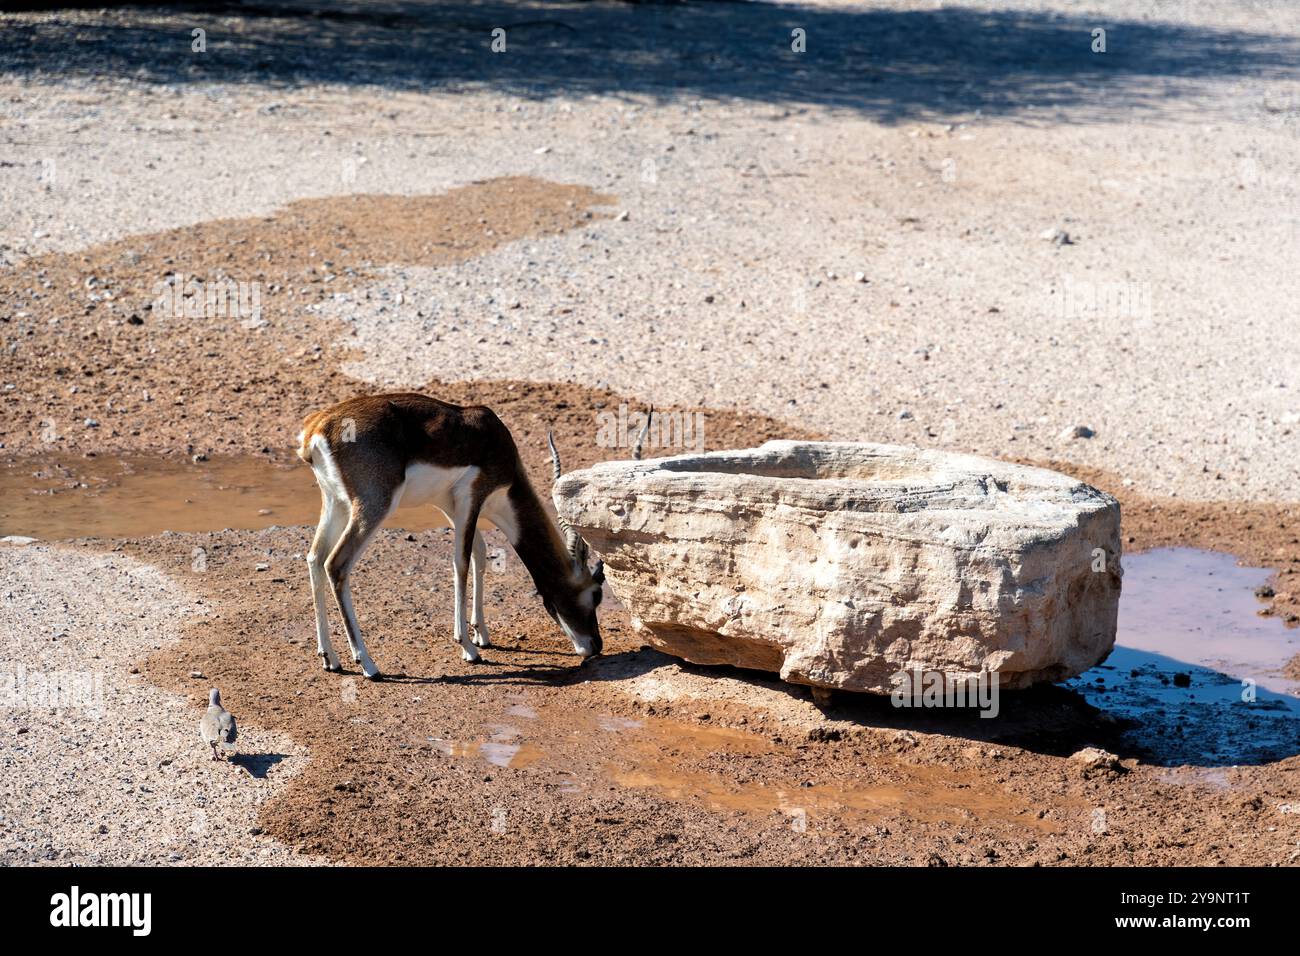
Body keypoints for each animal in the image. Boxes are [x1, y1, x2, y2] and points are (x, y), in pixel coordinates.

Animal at [296, 393, 646, 680]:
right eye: (596, 594)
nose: (595, 645)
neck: (494, 441)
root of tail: (317, 428)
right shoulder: (472, 496)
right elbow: (462, 561)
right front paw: (467, 647)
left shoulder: (451, 507)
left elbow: (479, 554)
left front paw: (481, 634)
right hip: (374, 506)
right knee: (336, 564)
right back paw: (368, 664)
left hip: (336, 502)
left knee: (314, 557)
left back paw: (330, 658)